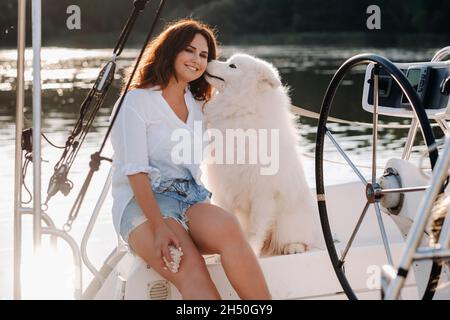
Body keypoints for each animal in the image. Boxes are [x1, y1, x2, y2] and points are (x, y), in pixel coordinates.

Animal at [203, 53, 324, 256]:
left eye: (232, 66)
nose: (208, 60)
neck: (241, 110)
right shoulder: (223, 188)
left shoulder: (263, 195)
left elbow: (255, 231)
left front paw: (251, 250)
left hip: (290, 220)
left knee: (300, 239)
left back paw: (293, 247)